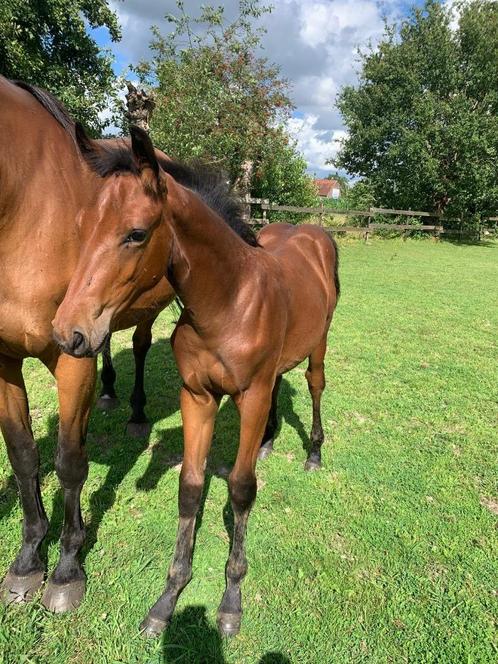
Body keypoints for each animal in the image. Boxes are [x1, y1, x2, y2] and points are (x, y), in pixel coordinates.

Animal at [52, 126, 340, 640]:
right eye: (82, 229)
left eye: (136, 234)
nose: (69, 333)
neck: (229, 303)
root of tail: (311, 232)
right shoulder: (198, 397)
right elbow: (189, 487)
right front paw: (167, 599)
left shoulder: (249, 397)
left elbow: (241, 489)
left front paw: (231, 601)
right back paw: (268, 441)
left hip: (319, 343)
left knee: (313, 384)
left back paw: (313, 452)